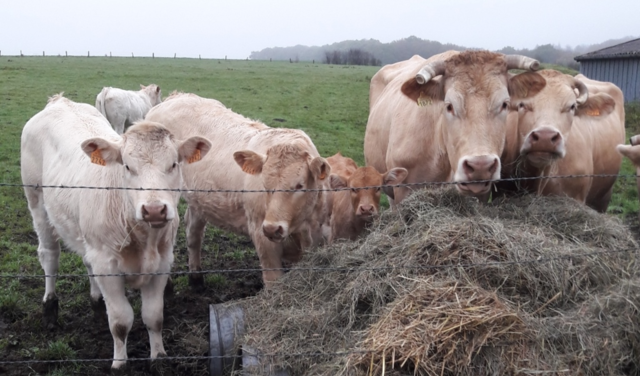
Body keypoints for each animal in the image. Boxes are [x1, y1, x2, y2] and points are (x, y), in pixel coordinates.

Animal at [19, 94, 210, 370]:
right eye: (128, 167)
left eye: (174, 164)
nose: (154, 210)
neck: (142, 239)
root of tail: (60, 101)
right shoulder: (107, 266)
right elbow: (120, 321)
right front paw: (119, 363)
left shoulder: (163, 262)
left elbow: (154, 316)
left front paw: (159, 357)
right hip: (37, 202)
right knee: (49, 255)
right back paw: (50, 308)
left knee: (86, 261)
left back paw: (97, 304)